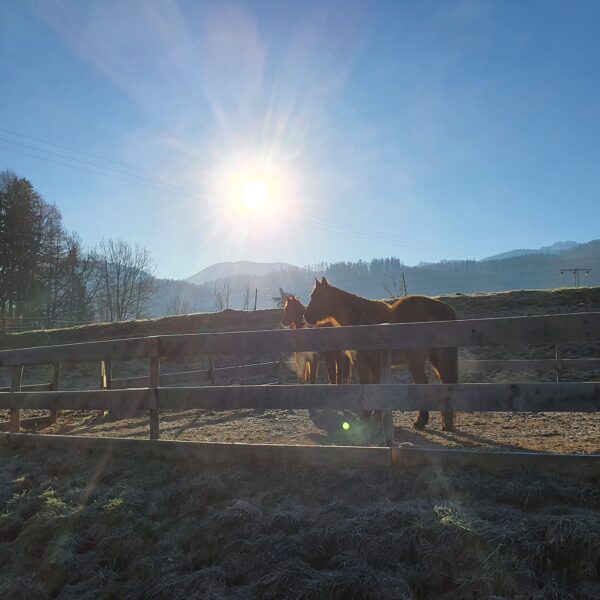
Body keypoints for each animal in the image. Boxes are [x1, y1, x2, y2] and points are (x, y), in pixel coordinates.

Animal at [303, 278, 457, 430]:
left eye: (317, 297)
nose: (306, 317)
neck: (362, 321)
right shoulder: (366, 364)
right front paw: (373, 415)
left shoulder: (368, 363)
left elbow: (372, 387)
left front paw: (369, 416)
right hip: (435, 358)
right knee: (445, 383)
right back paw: (445, 422)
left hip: (416, 361)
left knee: (425, 383)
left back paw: (422, 421)